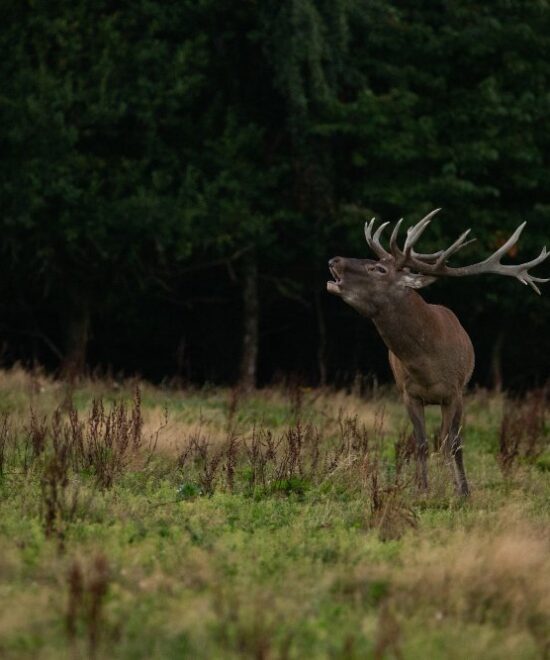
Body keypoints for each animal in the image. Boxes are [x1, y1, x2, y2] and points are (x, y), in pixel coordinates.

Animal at [327, 209, 549, 496]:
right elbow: (421, 442)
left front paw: (463, 491)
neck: (427, 366)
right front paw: (422, 488)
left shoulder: (455, 393)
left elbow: (454, 443)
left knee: (447, 440)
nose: (334, 260)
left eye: (378, 268)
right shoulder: (409, 394)